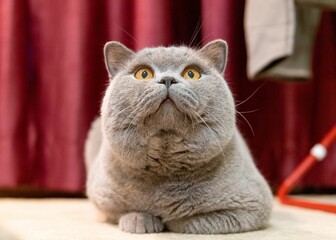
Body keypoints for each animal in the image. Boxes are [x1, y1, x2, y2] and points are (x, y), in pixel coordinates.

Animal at [84, 39, 272, 234]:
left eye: (191, 73)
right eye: (143, 73)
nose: (167, 79)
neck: (166, 167)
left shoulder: (251, 205)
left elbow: (196, 221)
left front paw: (172, 218)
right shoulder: (102, 198)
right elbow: (123, 212)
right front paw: (140, 221)